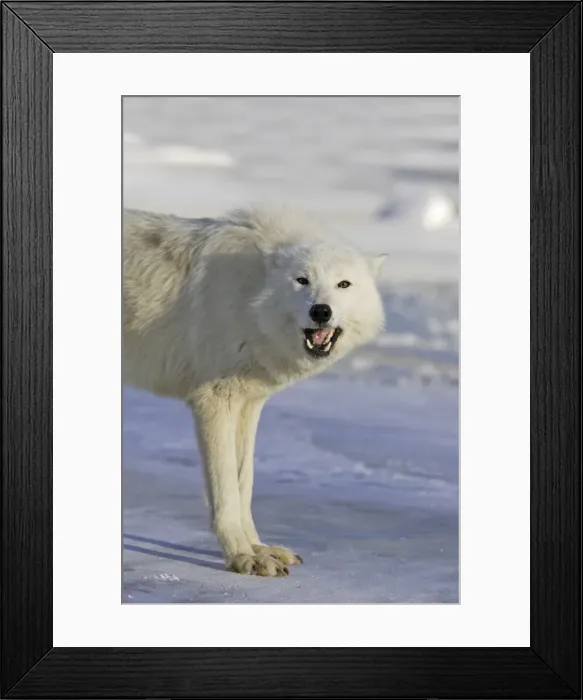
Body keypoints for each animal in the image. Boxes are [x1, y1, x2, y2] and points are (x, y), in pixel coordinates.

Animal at [124, 206, 386, 576]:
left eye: (343, 284)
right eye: (302, 280)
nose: (321, 311)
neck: (251, 298)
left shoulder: (249, 404)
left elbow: (243, 484)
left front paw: (259, 548)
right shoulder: (214, 401)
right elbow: (225, 491)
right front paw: (241, 556)